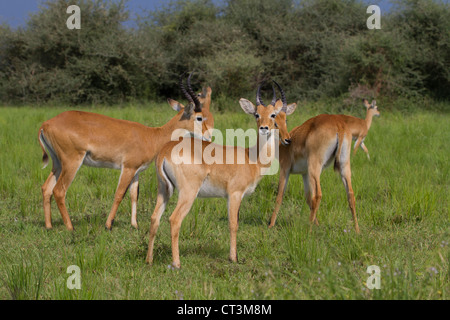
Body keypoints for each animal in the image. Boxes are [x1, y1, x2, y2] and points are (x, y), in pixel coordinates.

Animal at [37, 74, 212, 231]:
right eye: (199, 117)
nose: (209, 137)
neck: (152, 136)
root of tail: (46, 124)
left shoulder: (136, 171)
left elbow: (134, 195)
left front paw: (134, 225)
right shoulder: (127, 167)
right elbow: (119, 193)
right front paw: (108, 225)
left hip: (58, 163)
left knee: (46, 188)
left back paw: (49, 226)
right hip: (72, 162)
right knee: (59, 190)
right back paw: (70, 227)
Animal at [146, 80, 298, 268]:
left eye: (273, 115)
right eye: (257, 114)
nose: (264, 128)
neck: (251, 158)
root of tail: (165, 151)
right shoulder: (234, 194)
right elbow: (233, 224)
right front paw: (233, 258)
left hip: (164, 190)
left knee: (154, 218)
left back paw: (149, 260)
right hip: (188, 193)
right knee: (174, 220)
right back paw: (177, 264)